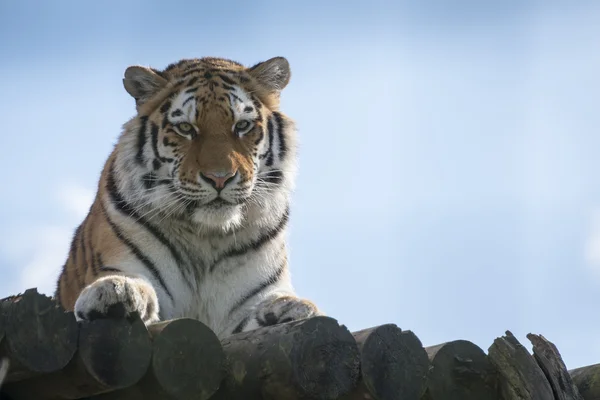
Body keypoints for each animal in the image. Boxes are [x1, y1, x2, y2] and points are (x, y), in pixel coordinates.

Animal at [54, 56, 322, 338]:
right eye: (185, 128)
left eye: (242, 125)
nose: (219, 178)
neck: (207, 237)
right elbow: (130, 282)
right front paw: (116, 291)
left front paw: (289, 308)